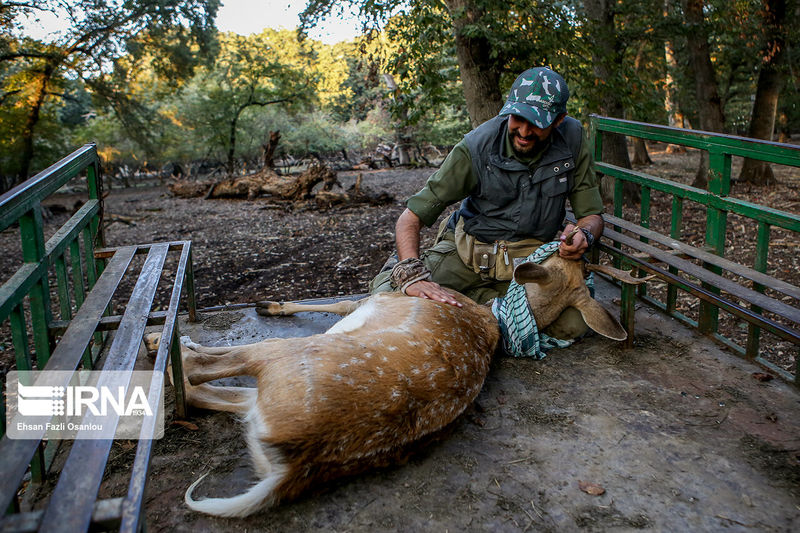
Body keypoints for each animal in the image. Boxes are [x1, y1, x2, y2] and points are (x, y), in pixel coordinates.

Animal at [172, 252, 640, 516]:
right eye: (575, 260)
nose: (573, 237)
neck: (495, 317)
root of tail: (292, 469)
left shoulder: (380, 297)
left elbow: (341, 301)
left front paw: (268, 304)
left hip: (284, 357)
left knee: (208, 372)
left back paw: (174, 345)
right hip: (260, 403)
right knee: (211, 395)